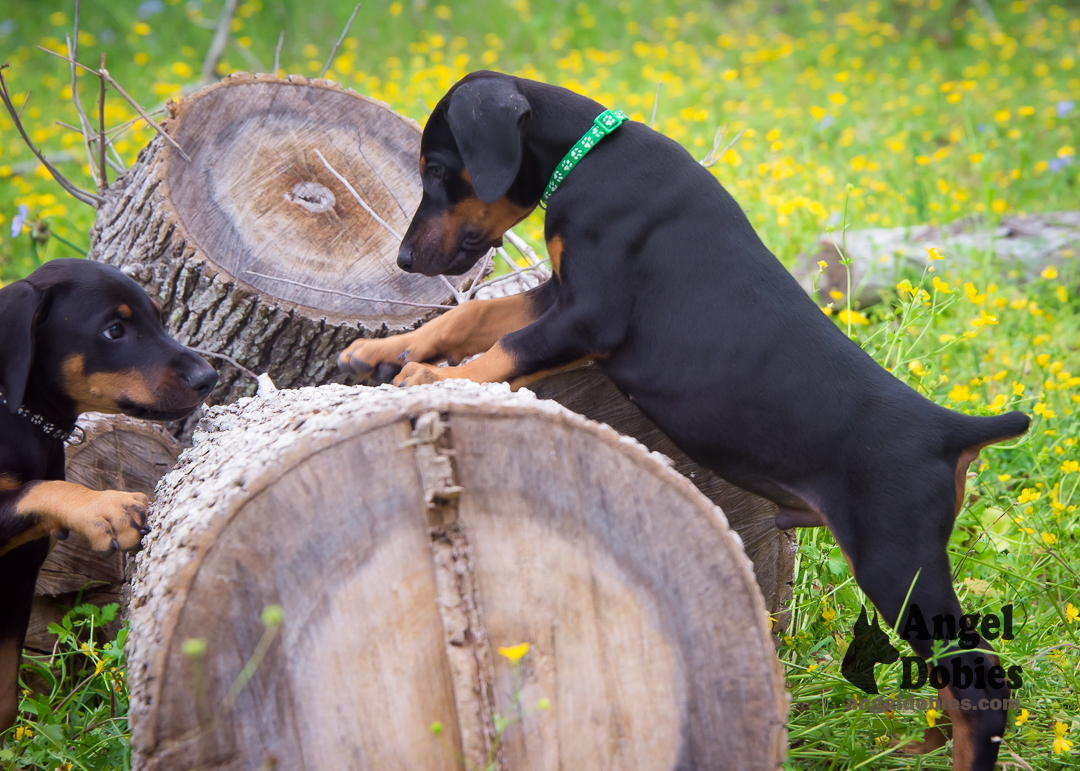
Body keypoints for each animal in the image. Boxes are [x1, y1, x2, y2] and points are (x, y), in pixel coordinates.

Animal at [0, 258, 219, 734]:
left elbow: (4, 696)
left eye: (159, 316)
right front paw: (106, 508)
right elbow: (41, 488)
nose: (209, 377)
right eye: (114, 330)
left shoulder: (20, 572)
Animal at [336, 72, 1028, 768]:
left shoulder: (589, 314)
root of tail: (951, 432)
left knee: (981, 683)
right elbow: (470, 318)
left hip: (895, 560)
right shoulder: (558, 293)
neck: (587, 157)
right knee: (951, 683)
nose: (404, 259)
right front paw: (378, 352)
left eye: (437, 169)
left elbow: (501, 349)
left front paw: (429, 379)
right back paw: (924, 740)